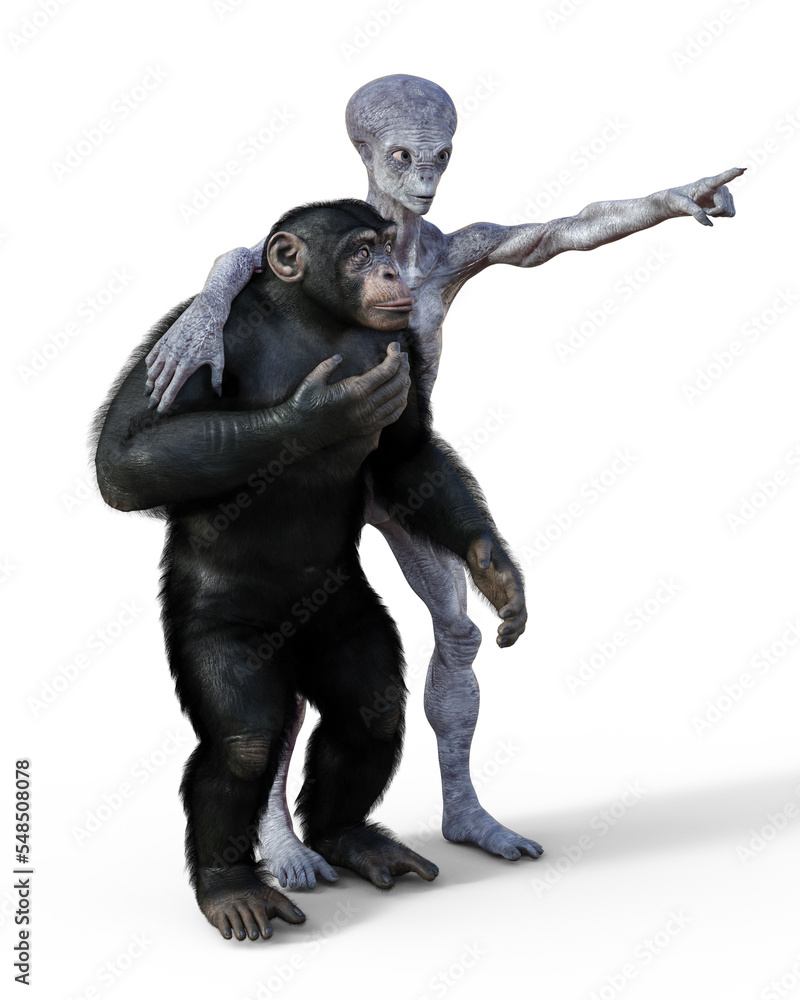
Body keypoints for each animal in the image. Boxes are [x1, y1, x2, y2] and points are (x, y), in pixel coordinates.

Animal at [94, 199, 527, 940]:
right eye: (359, 252)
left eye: (383, 246)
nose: (390, 270)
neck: (311, 318)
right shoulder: (188, 333)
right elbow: (124, 456)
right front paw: (325, 410)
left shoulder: (399, 345)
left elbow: (409, 456)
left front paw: (494, 569)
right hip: (220, 627)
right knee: (245, 742)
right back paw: (231, 888)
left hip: (341, 610)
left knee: (369, 710)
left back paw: (349, 837)